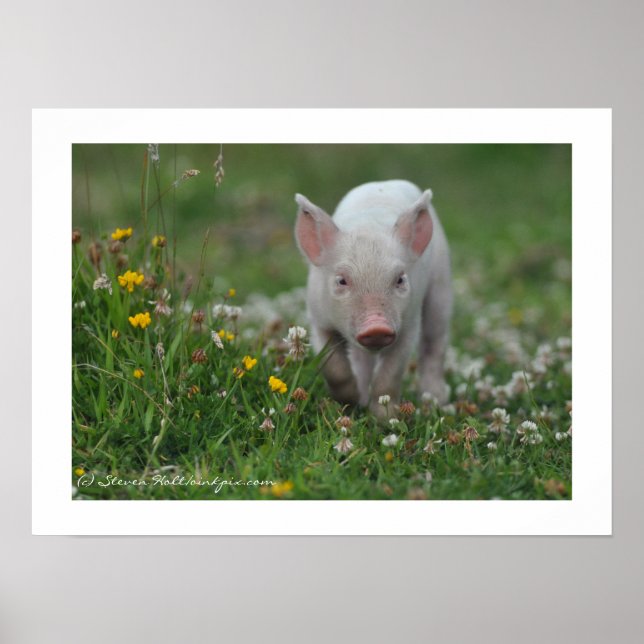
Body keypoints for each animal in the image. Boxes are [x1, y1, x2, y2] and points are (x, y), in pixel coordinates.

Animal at [294, 179, 452, 420]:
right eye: (341, 280)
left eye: (400, 279)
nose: (376, 326)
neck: (367, 226)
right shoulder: (318, 320)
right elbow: (334, 367)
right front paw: (350, 402)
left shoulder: (409, 323)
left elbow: (391, 372)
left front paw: (387, 419)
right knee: (361, 359)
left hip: (441, 287)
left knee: (434, 342)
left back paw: (435, 399)